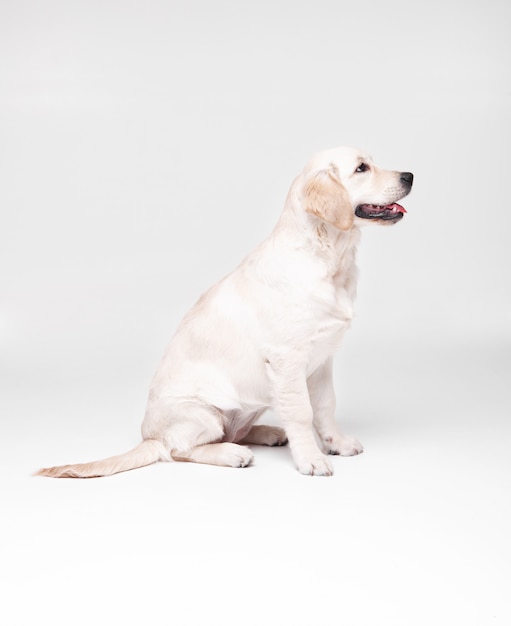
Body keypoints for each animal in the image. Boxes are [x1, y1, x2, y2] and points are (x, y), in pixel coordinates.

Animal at [38, 147, 416, 478]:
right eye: (361, 168)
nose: (410, 175)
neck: (329, 259)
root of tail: (149, 436)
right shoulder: (288, 359)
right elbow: (301, 411)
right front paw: (311, 459)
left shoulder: (322, 360)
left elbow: (324, 407)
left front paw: (337, 443)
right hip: (200, 413)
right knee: (177, 450)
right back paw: (231, 453)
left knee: (231, 431)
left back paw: (267, 433)